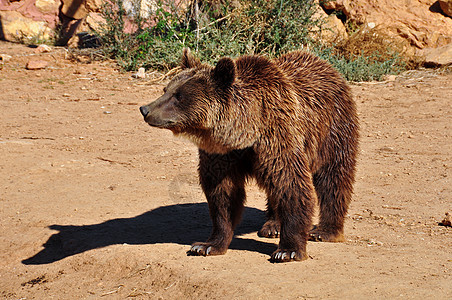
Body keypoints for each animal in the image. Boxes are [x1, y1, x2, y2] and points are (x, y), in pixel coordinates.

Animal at [139, 49, 358, 262]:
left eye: (179, 96)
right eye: (166, 89)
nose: (145, 109)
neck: (245, 133)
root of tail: (325, 65)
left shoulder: (277, 138)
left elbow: (290, 185)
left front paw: (288, 251)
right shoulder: (222, 154)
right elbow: (223, 197)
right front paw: (207, 245)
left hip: (333, 128)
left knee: (333, 177)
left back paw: (325, 230)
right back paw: (273, 225)